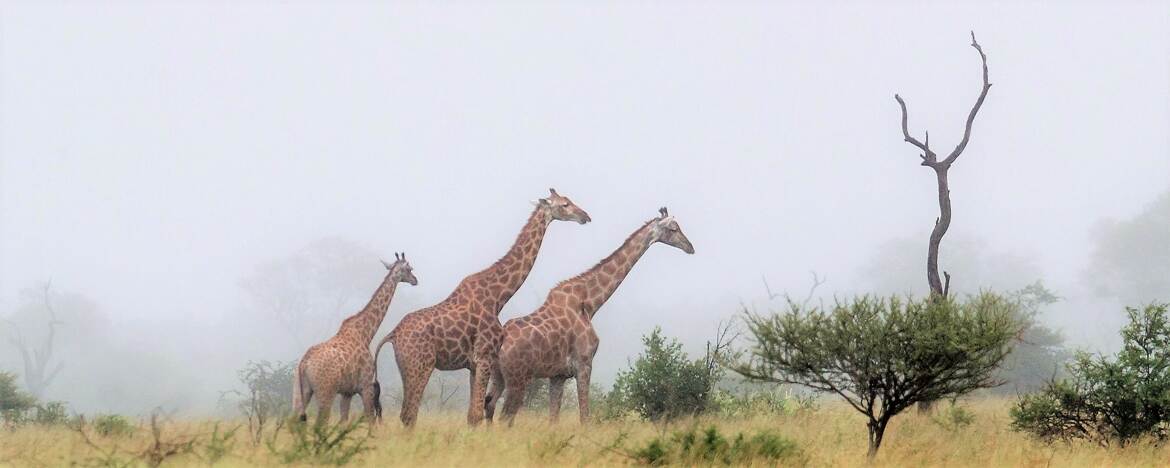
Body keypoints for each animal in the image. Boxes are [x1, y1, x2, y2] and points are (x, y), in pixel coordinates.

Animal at [294, 253, 418, 425]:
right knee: (320, 422)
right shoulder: (365, 386)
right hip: (325, 392)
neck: (366, 333)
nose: (415, 280)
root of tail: (304, 363)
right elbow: (370, 420)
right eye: (409, 269)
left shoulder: (347, 392)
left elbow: (343, 421)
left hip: (303, 391)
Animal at [374, 189, 594, 428]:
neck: (498, 298)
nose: (585, 217)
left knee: (407, 413)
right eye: (564, 205)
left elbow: (472, 415)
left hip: (406, 368)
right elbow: (477, 415)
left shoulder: (473, 364)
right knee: (409, 414)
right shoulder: (485, 356)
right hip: (421, 365)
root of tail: (393, 335)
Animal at [486, 207, 687, 425]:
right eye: (673, 228)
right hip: (518, 378)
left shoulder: (558, 374)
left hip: (498, 376)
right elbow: (585, 417)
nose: (690, 247)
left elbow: (554, 419)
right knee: (504, 416)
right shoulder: (584, 364)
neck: (590, 304)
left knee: (489, 407)